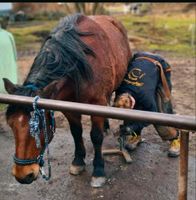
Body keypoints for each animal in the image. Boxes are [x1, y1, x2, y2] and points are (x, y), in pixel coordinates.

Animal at [3, 14, 132, 188]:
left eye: (39, 127)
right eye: (11, 124)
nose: (22, 175)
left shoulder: (97, 103)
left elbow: (96, 136)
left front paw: (98, 171)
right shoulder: (68, 107)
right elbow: (76, 132)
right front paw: (78, 162)